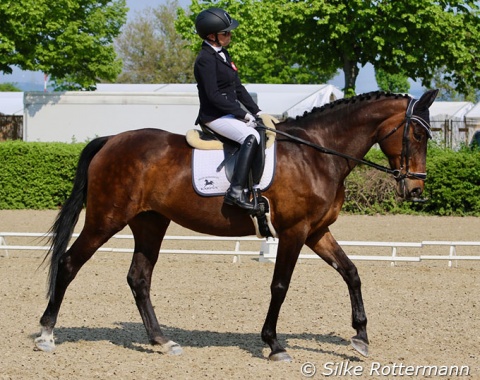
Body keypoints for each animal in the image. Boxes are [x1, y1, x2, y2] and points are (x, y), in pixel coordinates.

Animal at [33, 90, 438, 362]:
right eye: (418, 135)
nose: (416, 191)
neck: (317, 154)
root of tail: (110, 141)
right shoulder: (294, 231)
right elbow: (280, 285)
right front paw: (273, 344)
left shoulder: (316, 232)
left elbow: (351, 272)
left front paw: (361, 337)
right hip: (106, 219)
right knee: (69, 264)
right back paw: (46, 335)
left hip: (150, 222)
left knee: (139, 278)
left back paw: (162, 341)